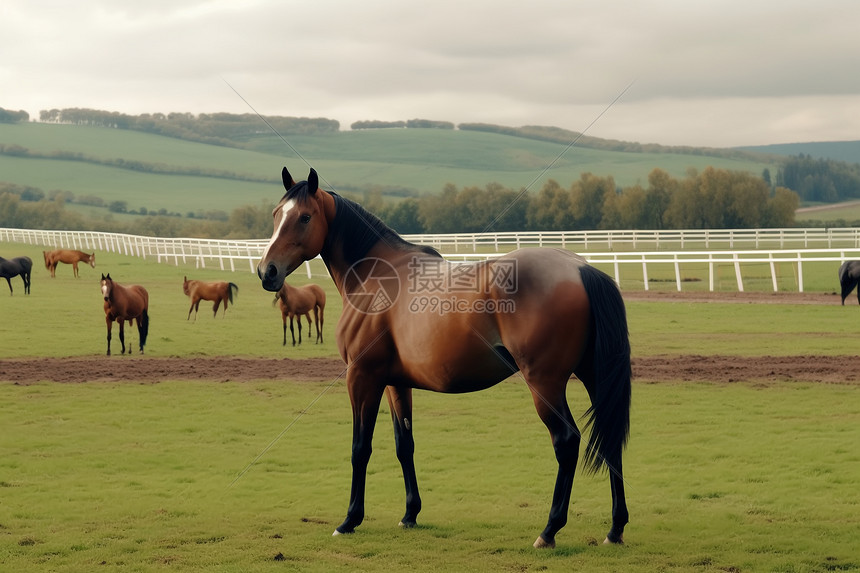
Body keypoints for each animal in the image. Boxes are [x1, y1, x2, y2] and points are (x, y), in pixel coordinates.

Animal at [255, 168, 632, 548]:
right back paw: (615, 528)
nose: (266, 271)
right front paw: (410, 514)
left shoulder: (362, 378)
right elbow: (403, 444)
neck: (377, 278)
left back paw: (549, 530)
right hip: (593, 376)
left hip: (545, 383)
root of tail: (581, 269)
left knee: (567, 442)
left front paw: (350, 520)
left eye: (304, 217)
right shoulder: (395, 384)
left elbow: (360, 448)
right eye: (276, 214)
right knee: (611, 441)